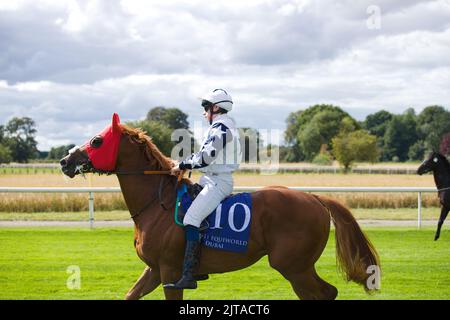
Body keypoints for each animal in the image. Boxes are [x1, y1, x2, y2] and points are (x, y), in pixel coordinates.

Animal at [59, 113, 380, 300]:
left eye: (97, 141)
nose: (64, 161)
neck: (156, 206)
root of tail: (314, 198)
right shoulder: (154, 270)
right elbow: (130, 295)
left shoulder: (170, 273)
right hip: (298, 267)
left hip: (293, 266)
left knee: (323, 293)